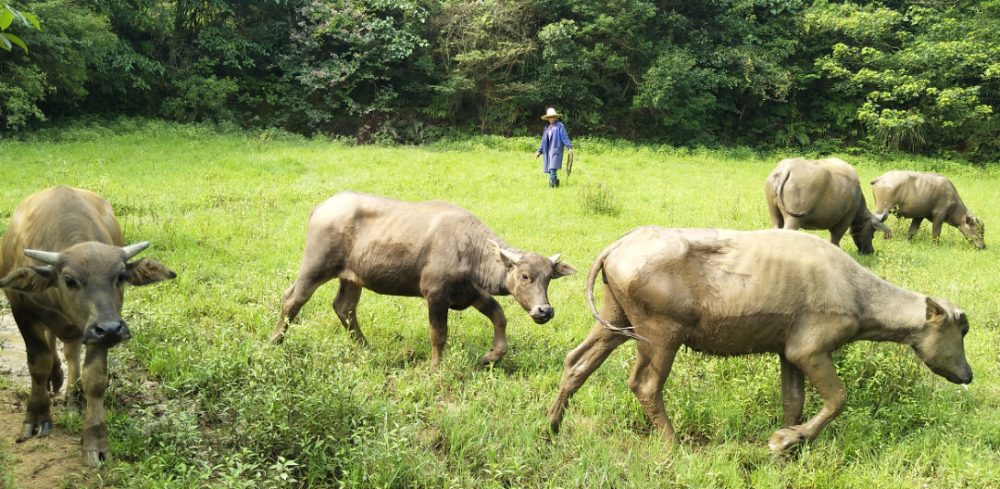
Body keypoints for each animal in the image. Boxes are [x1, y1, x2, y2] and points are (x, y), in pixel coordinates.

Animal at [0, 186, 176, 466]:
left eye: (121, 276)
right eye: (69, 280)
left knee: (71, 353)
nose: (111, 328)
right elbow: (38, 364)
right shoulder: (22, 312)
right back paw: (55, 380)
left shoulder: (97, 332)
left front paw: (95, 441)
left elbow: (94, 378)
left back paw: (71, 398)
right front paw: (36, 417)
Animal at [272, 191, 580, 370]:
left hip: (352, 277)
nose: (544, 310)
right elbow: (439, 334)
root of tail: (321, 207)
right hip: (315, 266)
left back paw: (365, 347)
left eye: (549, 278)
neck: (471, 249)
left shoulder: (473, 293)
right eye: (525, 275)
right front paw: (434, 368)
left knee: (344, 307)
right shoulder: (436, 294)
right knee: (293, 298)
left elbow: (500, 317)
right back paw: (275, 342)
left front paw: (490, 356)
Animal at [544, 227, 972, 448]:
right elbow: (838, 398)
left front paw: (790, 444)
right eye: (961, 329)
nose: (968, 374)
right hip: (660, 333)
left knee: (576, 362)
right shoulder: (811, 350)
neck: (856, 293)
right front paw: (785, 441)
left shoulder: (789, 353)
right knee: (644, 384)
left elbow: (794, 401)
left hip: (615, 321)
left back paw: (551, 426)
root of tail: (618, 245)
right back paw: (673, 443)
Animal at [764, 157, 892, 255]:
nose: (870, 251)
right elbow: (836, 238)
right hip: (794, 219)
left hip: (774, 214)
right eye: (872, 231)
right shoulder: (846, 218)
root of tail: (787, 169)